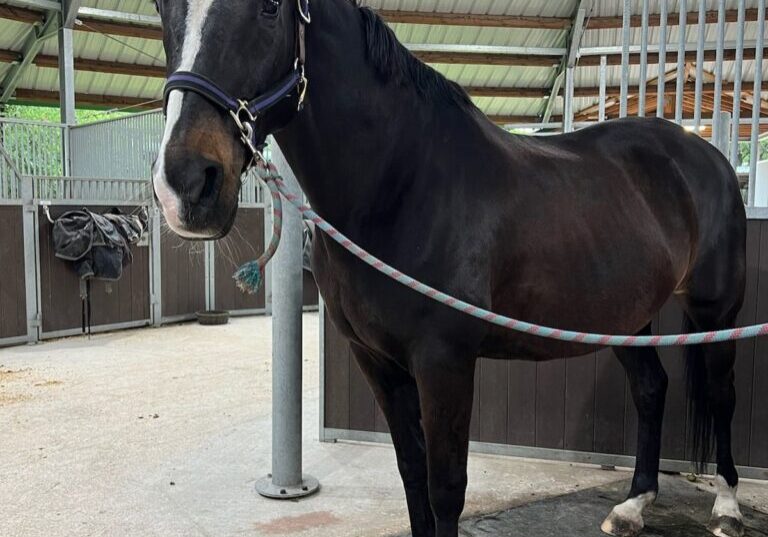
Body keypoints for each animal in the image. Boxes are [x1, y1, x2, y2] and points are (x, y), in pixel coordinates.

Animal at [153, 2, 748, 532]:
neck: (402, 183)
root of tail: (704, 154)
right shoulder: (377, 361)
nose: (186, 184)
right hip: (626, 317)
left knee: (722, 396)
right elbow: (412, 476)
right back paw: (633, 506)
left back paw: (727, 507)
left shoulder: (445, 363)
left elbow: (445, 489)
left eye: (271, 8)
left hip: (716, 312)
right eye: (164, 6)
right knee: (650, 388)